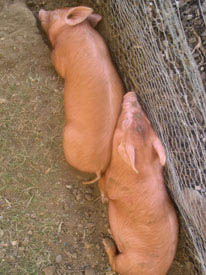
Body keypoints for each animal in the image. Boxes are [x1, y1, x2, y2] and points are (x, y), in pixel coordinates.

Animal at [99, 92, 178, 275]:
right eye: (148, 120)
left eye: (125, 122)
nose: (132, 93)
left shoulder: (111, 183)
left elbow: (103, 187)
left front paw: (103, 197)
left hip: (129, 262)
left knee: (115, 264)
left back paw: (107, 242)